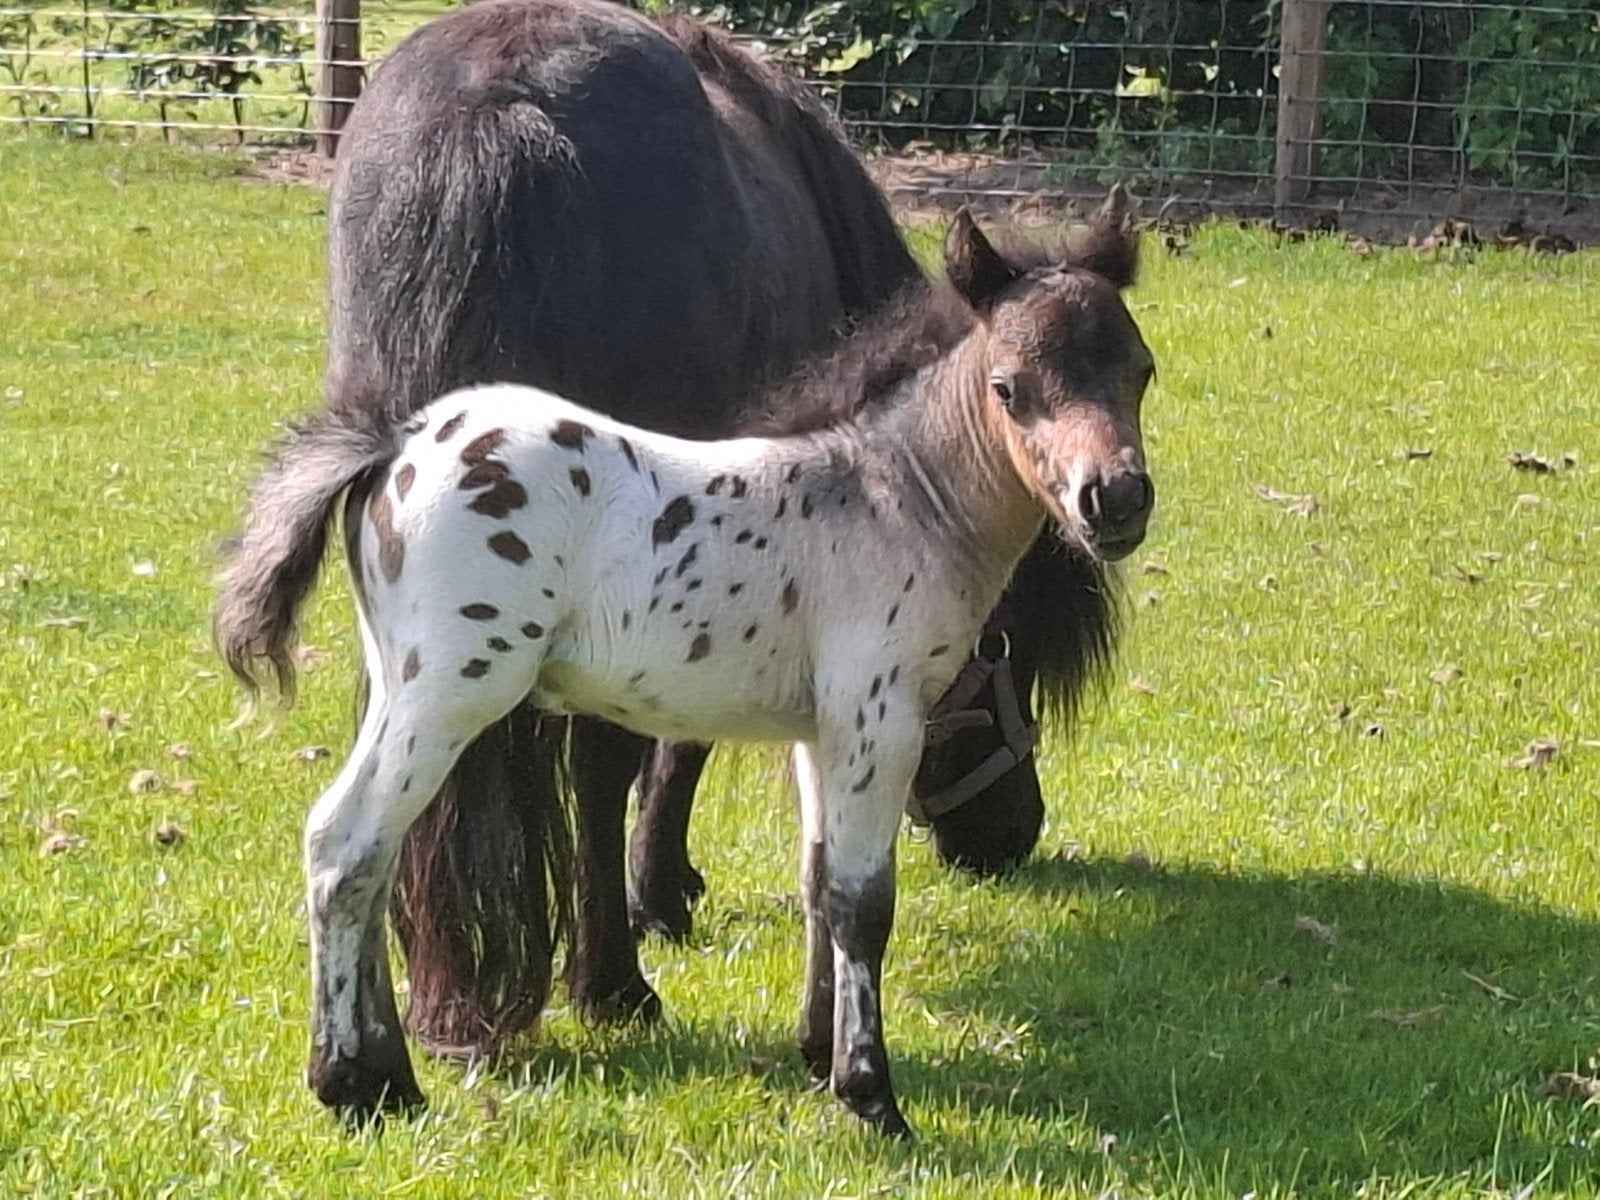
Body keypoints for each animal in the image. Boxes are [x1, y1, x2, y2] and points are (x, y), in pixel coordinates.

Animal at [215, 206, 1155, 1136]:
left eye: (1141, 371)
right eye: (1009, 388)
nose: (1114, 500)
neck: (890, 500)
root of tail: (397, 443)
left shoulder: (824, 730)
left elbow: (817, 884)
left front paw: (816, 1051)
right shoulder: (879, 720)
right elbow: (863, 901)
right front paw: (870, 1095)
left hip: (404, 685)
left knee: (368, 858)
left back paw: (384, 1077)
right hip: (452, 692)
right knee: (347, 842)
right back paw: (351, 1082)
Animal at [311, 0, 1122, 1062]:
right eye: (1004, 647)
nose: (1010, 833)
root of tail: (497, 111)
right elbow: (677, 741)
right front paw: (662, 894)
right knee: (593, 757)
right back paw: (611, 983)